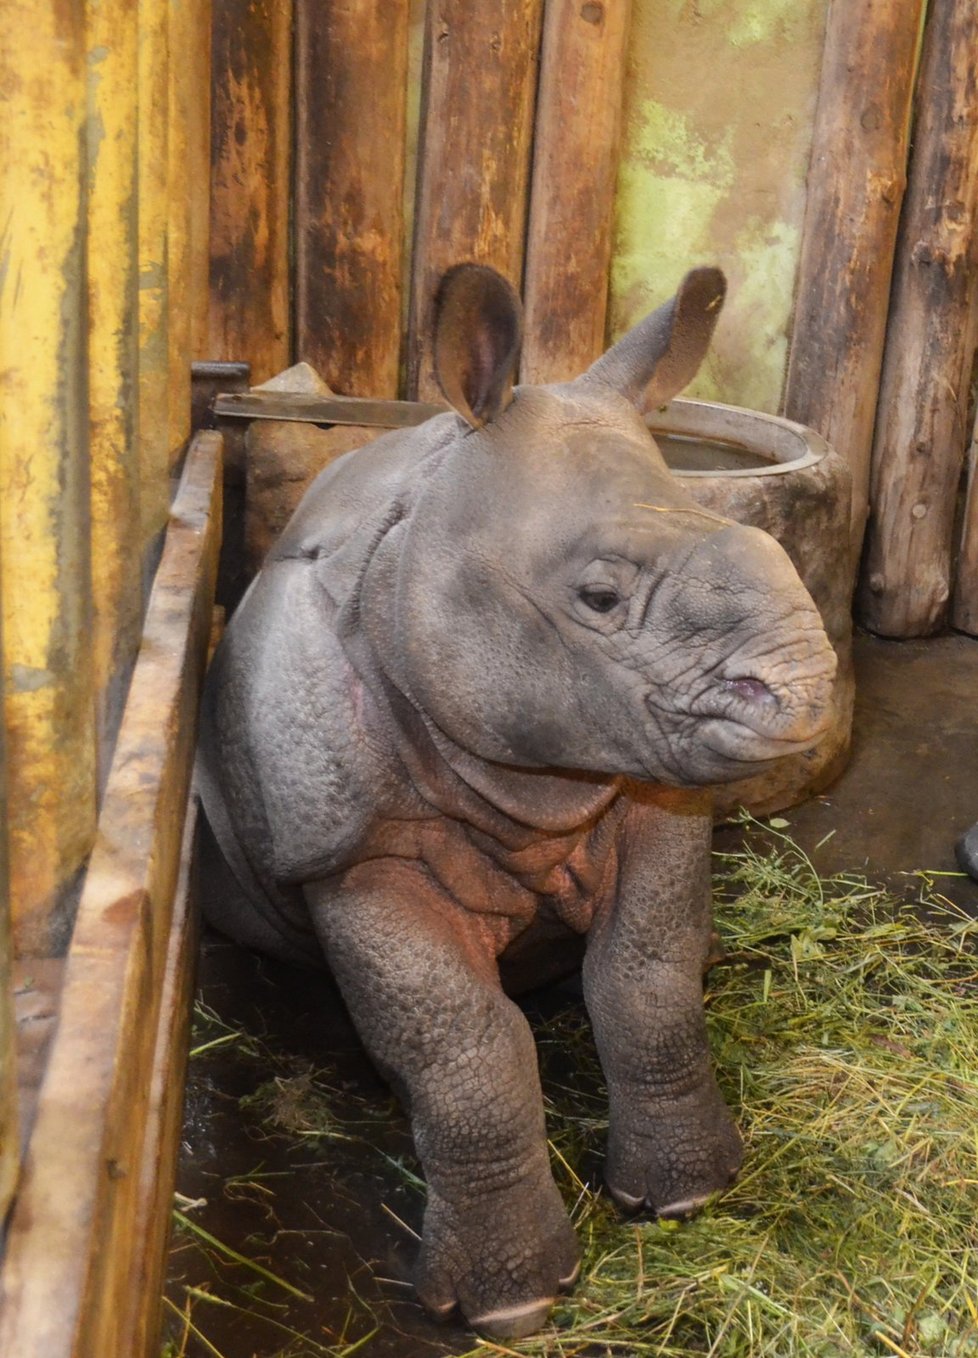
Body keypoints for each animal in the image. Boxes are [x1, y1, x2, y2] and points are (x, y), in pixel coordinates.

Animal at [194, 262, 836, 1336]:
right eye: (600, 599)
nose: (807, 689)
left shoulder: (649, 787)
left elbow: (648, 982)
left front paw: (688, 1193)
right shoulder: (355, 851)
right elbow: (465, 1045)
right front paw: (510, 1303)